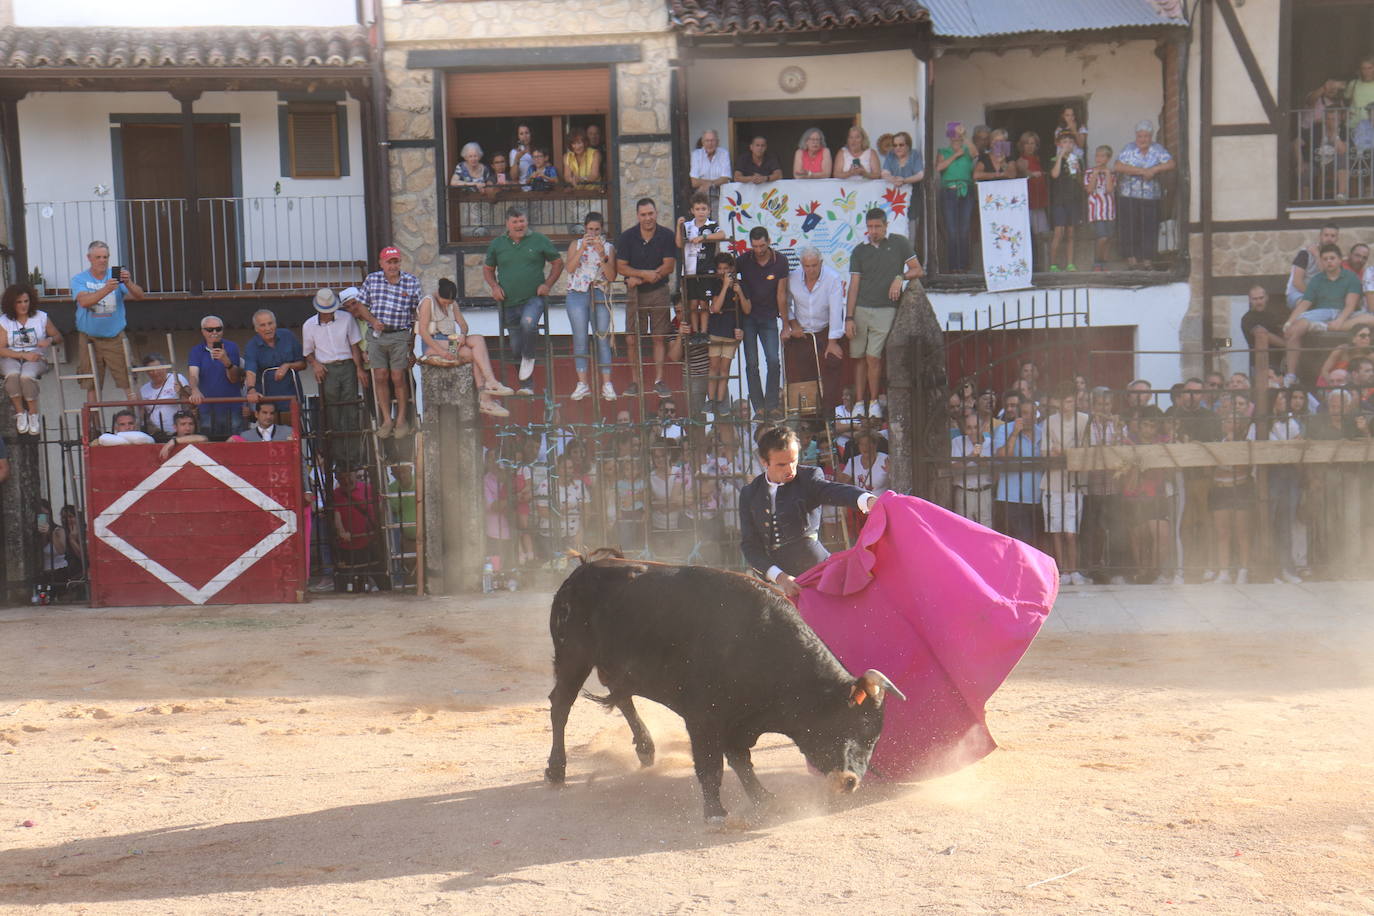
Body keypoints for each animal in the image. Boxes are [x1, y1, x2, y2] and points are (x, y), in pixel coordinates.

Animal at [541, 552, 906, 823]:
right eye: (856, 727)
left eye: (874, 738)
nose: (849, 782)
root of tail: (582, 570)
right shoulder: (704, 718)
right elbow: (711, 765)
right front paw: (716, 813)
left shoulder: (739, 722)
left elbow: (741, 760)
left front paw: (763, 798)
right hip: (573, 658)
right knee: (561, 705)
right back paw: (556, 769)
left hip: (615, 665)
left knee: (622, 697)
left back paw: (645, 747)